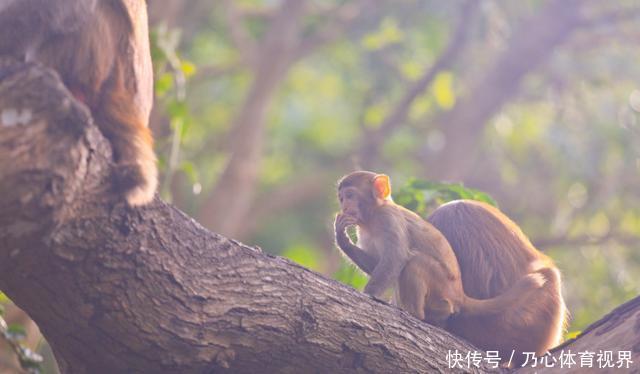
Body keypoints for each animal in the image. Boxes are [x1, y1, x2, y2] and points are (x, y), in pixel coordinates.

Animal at [332, 170, 548, 330]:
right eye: (341, 198)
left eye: (350, 196)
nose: (345, 207)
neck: (372, 218)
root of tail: (460, 294)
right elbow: (376, 263)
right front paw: (342, 238)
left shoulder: (389, 219)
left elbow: (395, 258)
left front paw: (368, 294)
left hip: (443, 286)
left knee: (414, 262)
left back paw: (415, 314)